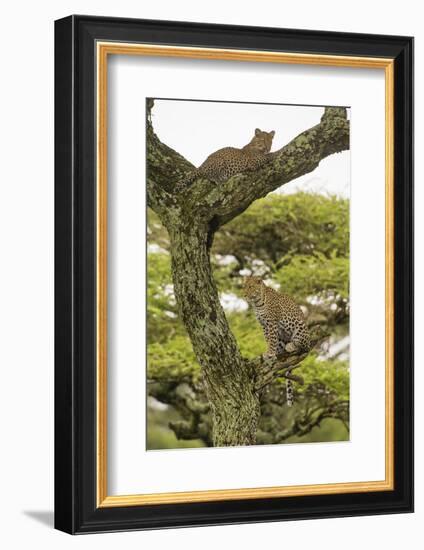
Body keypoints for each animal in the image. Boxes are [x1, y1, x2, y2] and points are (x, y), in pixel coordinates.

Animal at [243, 278, 310, 408]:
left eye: (251, 287)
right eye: (244, 287)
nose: (244, 295)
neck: (257, 303)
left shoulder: (272, 322)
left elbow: (272, 339)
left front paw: (270, 353)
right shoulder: (264, 325)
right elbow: (269, 339)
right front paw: (269, 352)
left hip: (299, 327)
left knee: (304, 346)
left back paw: (291, 346)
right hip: (282, 336)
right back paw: (280, 352)